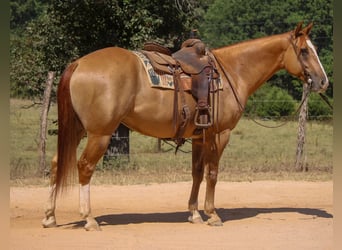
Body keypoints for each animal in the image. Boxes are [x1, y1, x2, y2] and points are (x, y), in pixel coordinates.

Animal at [42, 22, 328, 230]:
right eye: (304, 51)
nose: (323, 81)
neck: (233, 72)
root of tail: (79, 63)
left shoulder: (200, 136)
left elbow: (197, 173)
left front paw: (194, 214)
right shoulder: (219, 134)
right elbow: (213, 173)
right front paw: (212, 215)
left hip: (78, 129)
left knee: (56, 163)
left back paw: (50, 216)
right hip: (99, 133)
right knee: (84, 167)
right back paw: (89, 218)